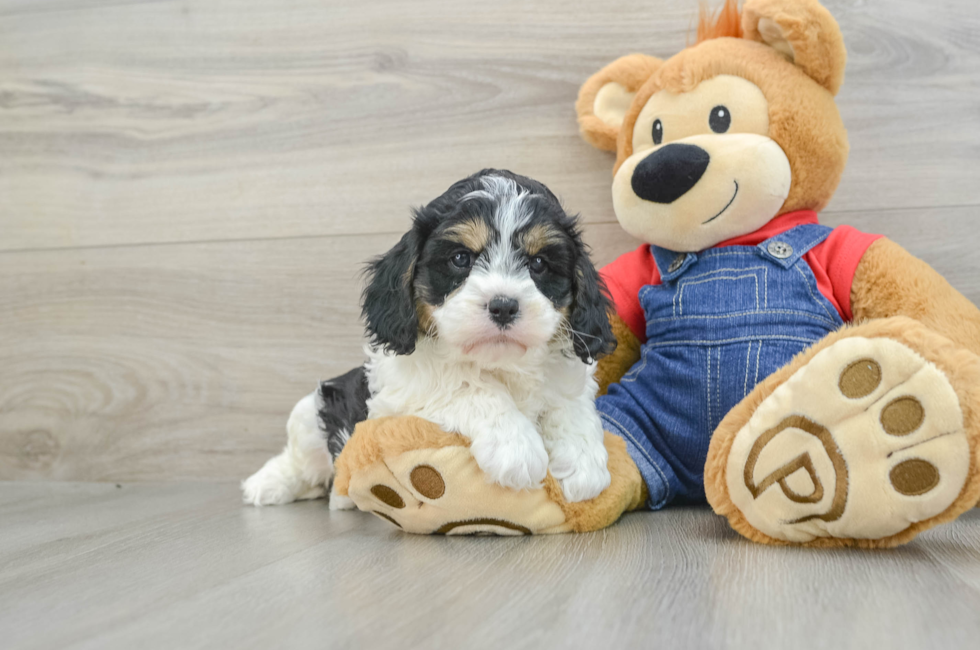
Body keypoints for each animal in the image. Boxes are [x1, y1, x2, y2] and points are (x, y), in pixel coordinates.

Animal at [242, 170, 616, 508]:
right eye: (460, 258)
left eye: (538, 263)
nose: (504, 306)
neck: (499, 363)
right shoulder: (404, 389)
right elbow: (467, 386)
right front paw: (516, 446)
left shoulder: (568, 377)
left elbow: (571, 407)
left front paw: (584, 464)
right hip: (315, 410)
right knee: (302, 462)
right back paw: (270, 484)